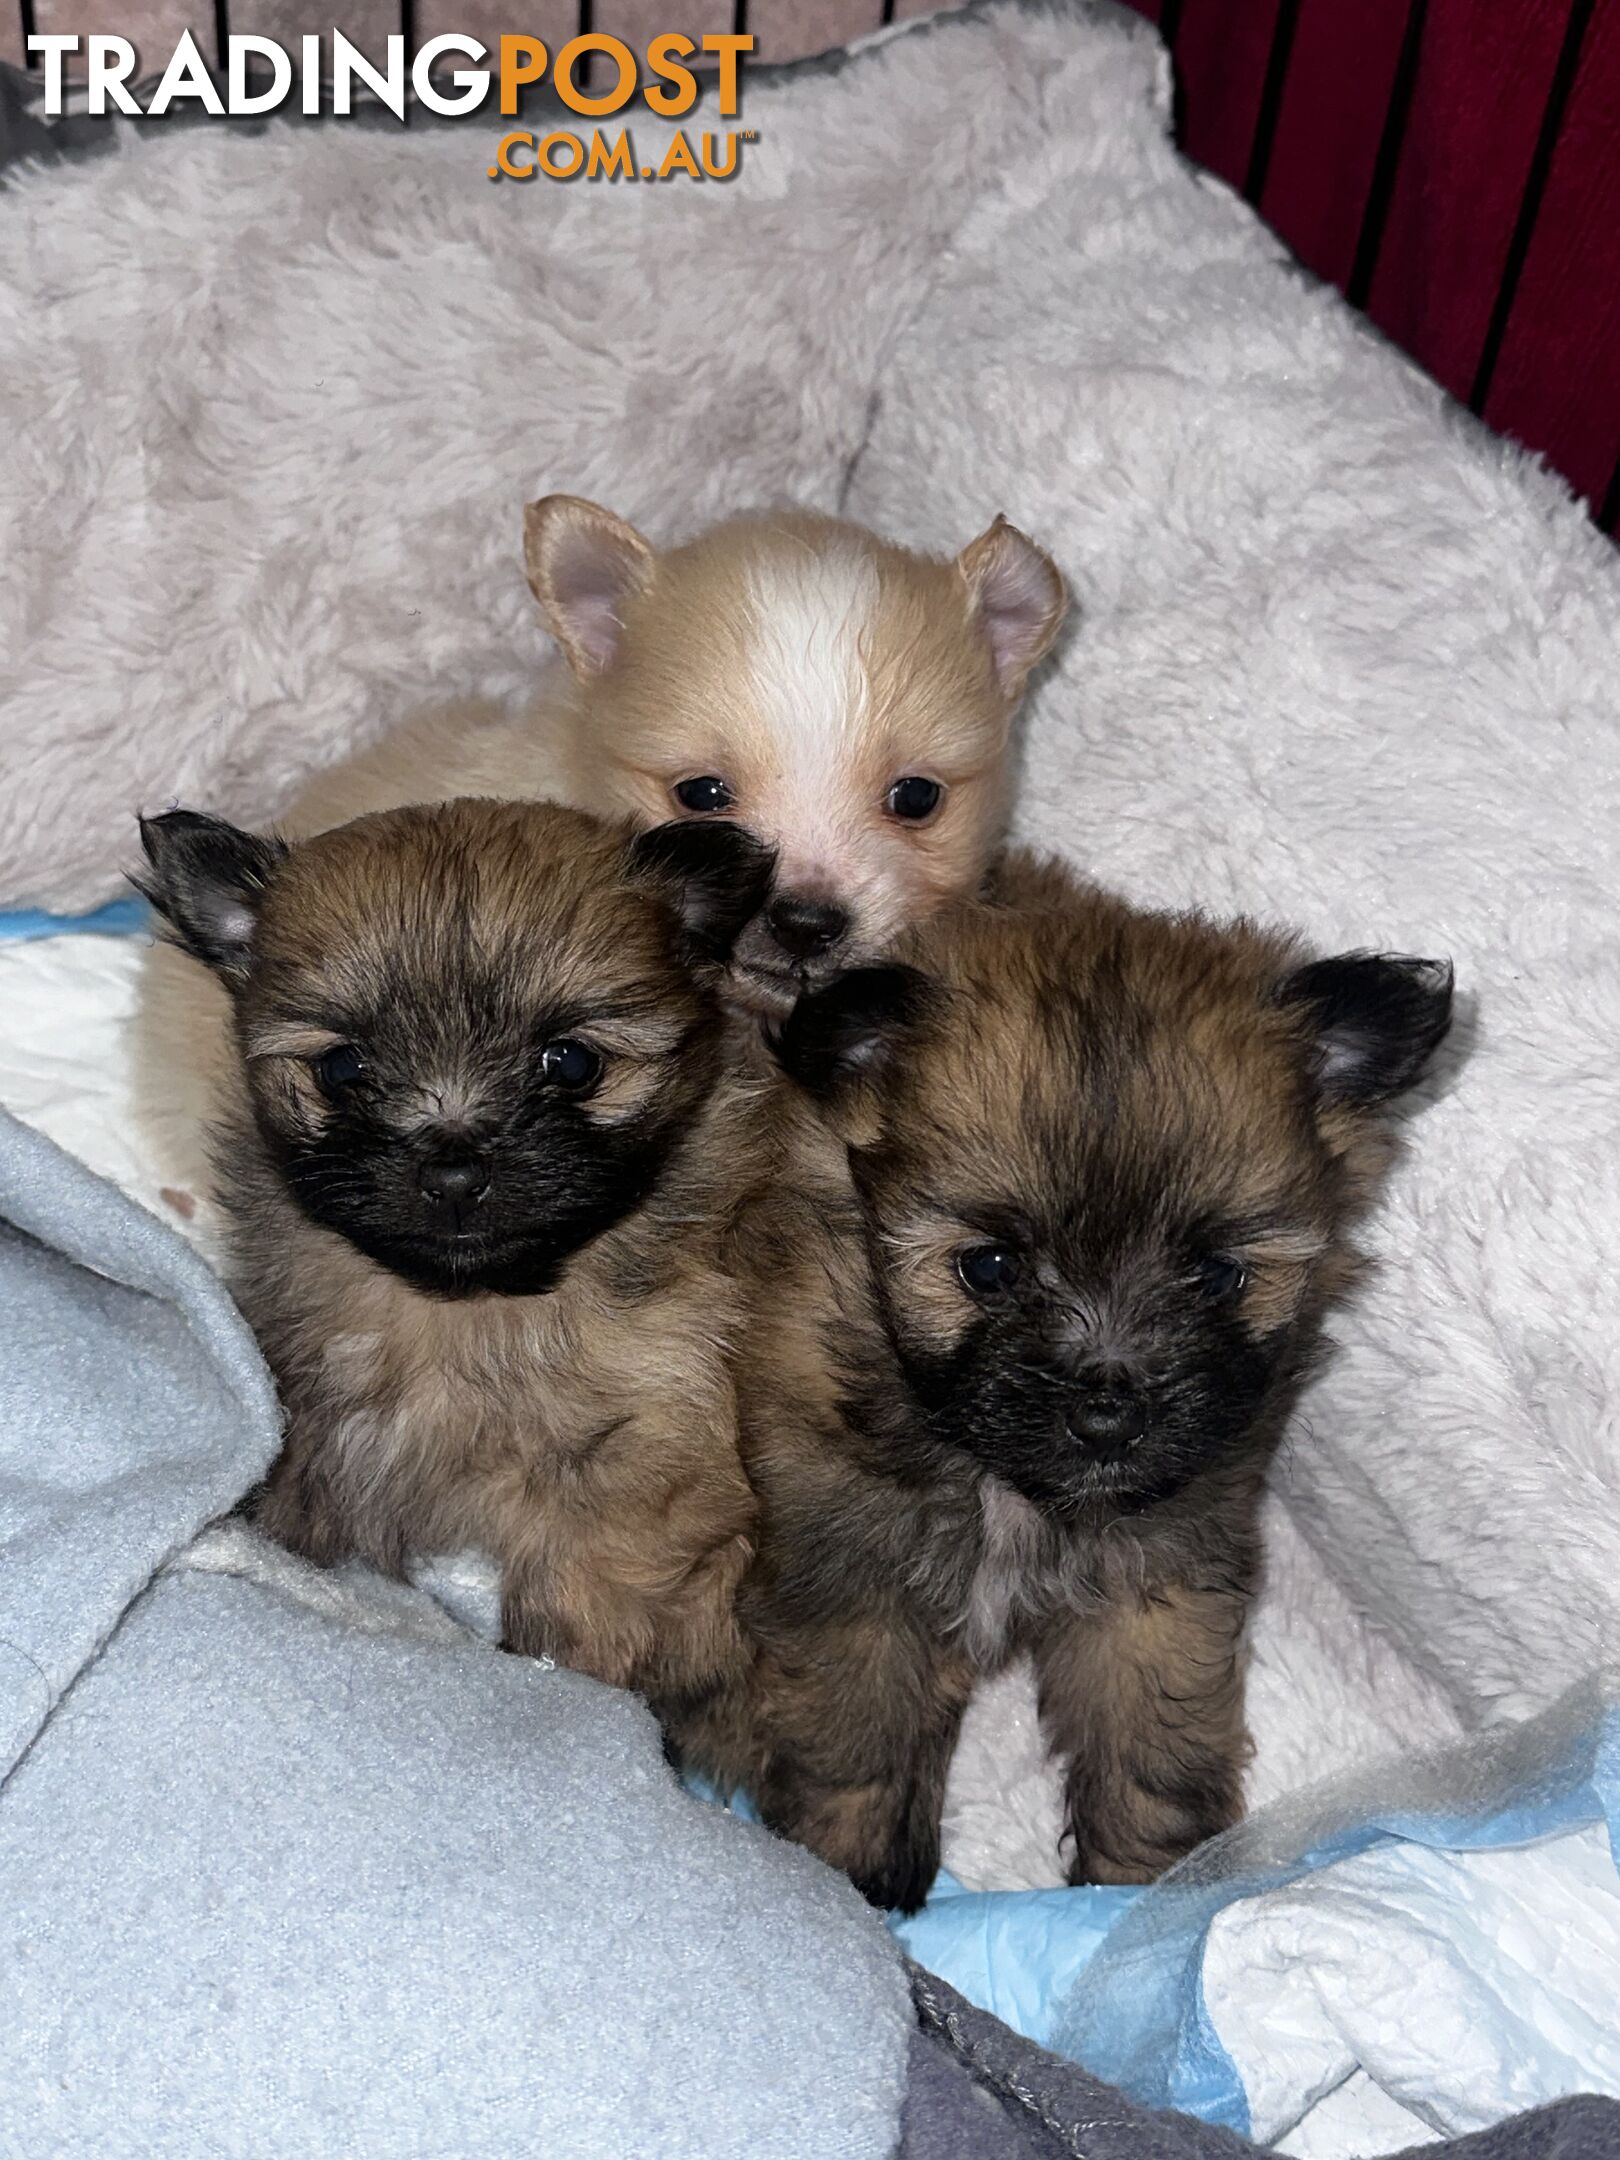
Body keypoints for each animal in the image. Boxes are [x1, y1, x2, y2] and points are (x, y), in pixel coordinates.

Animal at [136, 799, 777, 1702]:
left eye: (570, 1063)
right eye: (342, 1069)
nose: (453, 1171)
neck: (468, 1312)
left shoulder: (642, 1460)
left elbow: (595, 1593)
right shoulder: (324, 1420)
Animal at [673, 859, 1460, 1909]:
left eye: (1217, 1276)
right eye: (991, 1268)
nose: (1109, 1413)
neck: (1003, 1482)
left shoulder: (1155, 1584)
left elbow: (1149, 1742)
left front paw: (1145, 1892)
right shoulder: (849, 1582)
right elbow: (857, 1743)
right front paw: (854, 1885)